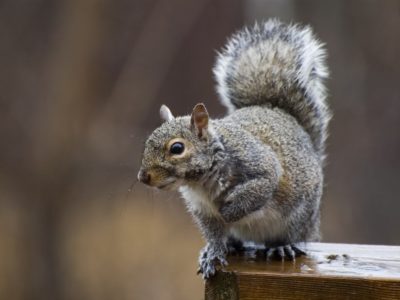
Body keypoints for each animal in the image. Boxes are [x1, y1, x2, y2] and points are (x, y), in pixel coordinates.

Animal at [136, 19, 330, 278]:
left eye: (177, 148)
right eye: (147, 142)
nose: (143, 177)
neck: (201, 182)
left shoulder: (260, 166)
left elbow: (260, 187)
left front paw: (229, 211)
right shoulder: (202, 210)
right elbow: (214, 233)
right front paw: (214, 252)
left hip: (298, 219)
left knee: (289, 236)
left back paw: (281, 246)